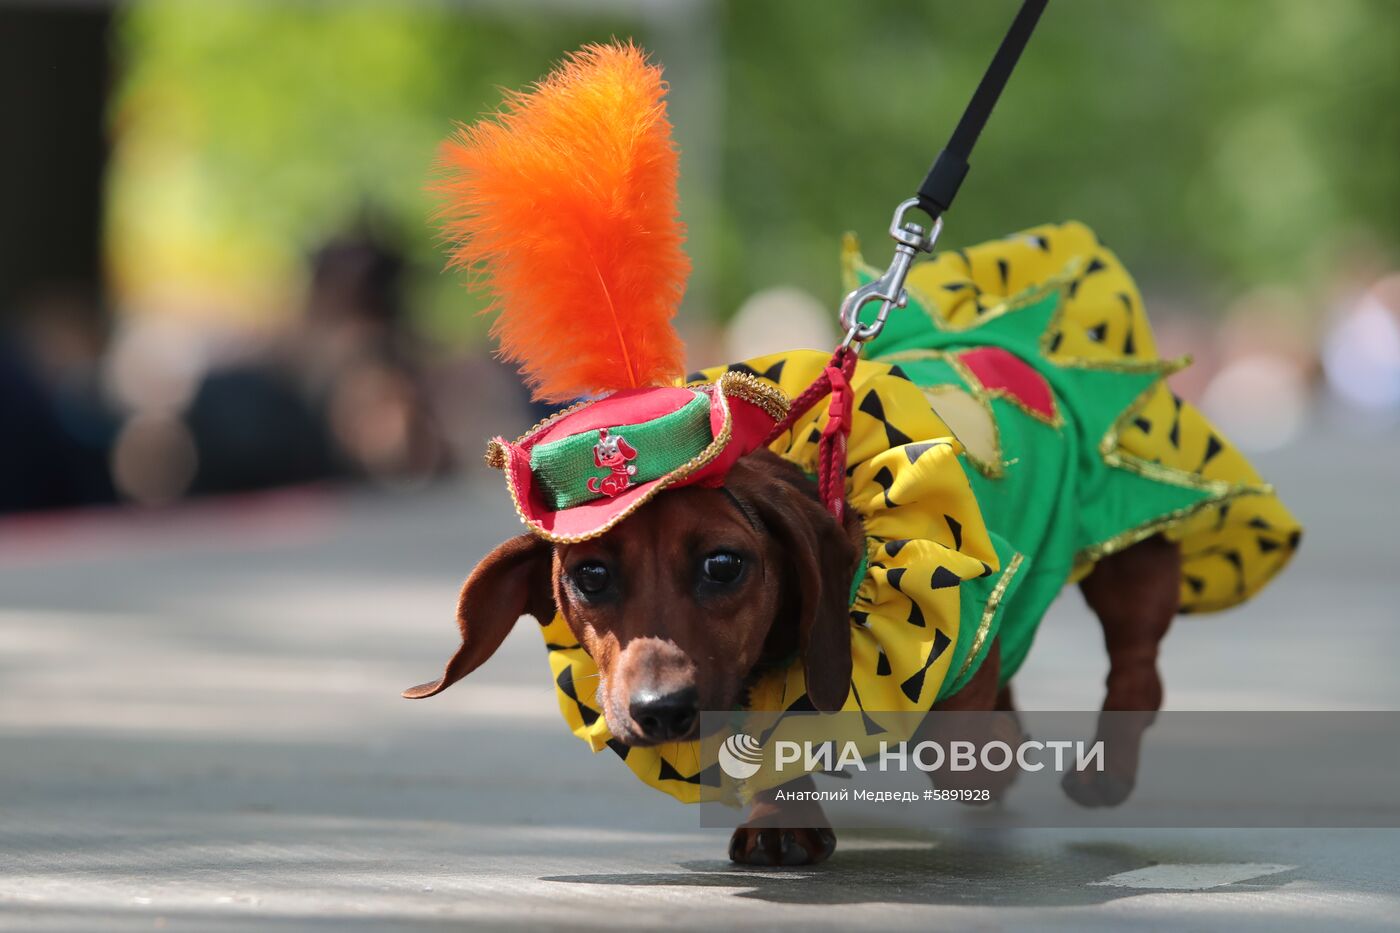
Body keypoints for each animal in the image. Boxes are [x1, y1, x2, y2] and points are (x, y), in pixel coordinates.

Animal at [406, 448, 1181, 862]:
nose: (660, 711)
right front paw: (780, 817)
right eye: (590, 575)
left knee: (1136, 667)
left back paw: (1103, 767)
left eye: (724, 564)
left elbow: (961, 727)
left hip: (1132, 544)